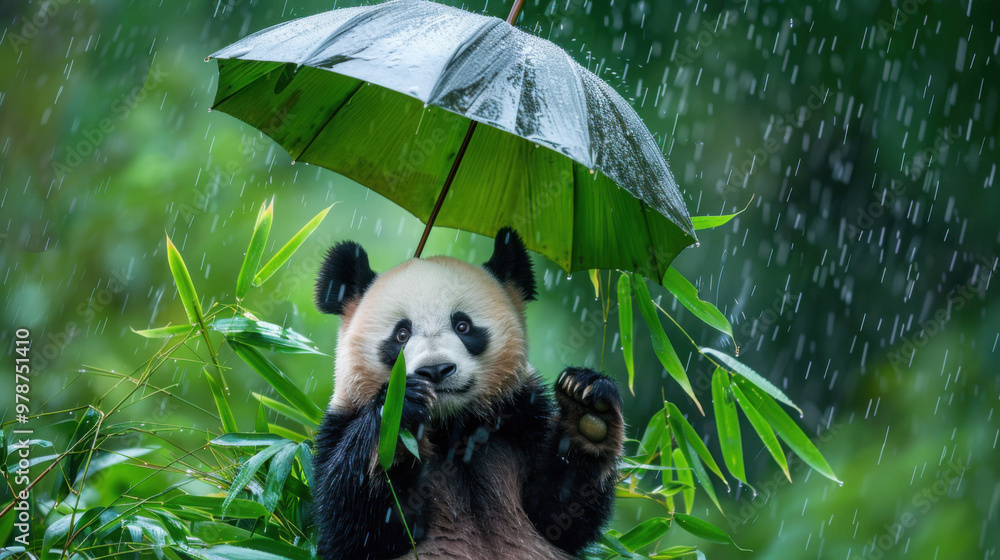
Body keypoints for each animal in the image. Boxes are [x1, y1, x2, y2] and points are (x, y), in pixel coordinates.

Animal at [312, 228, 624, 560]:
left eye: (463, 325)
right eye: (401, 334)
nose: (436, 370)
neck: (452, 427)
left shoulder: (521, 416)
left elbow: (559, 513)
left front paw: (586, 408)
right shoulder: (338, 426)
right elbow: (358, 526)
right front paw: (398, 414)